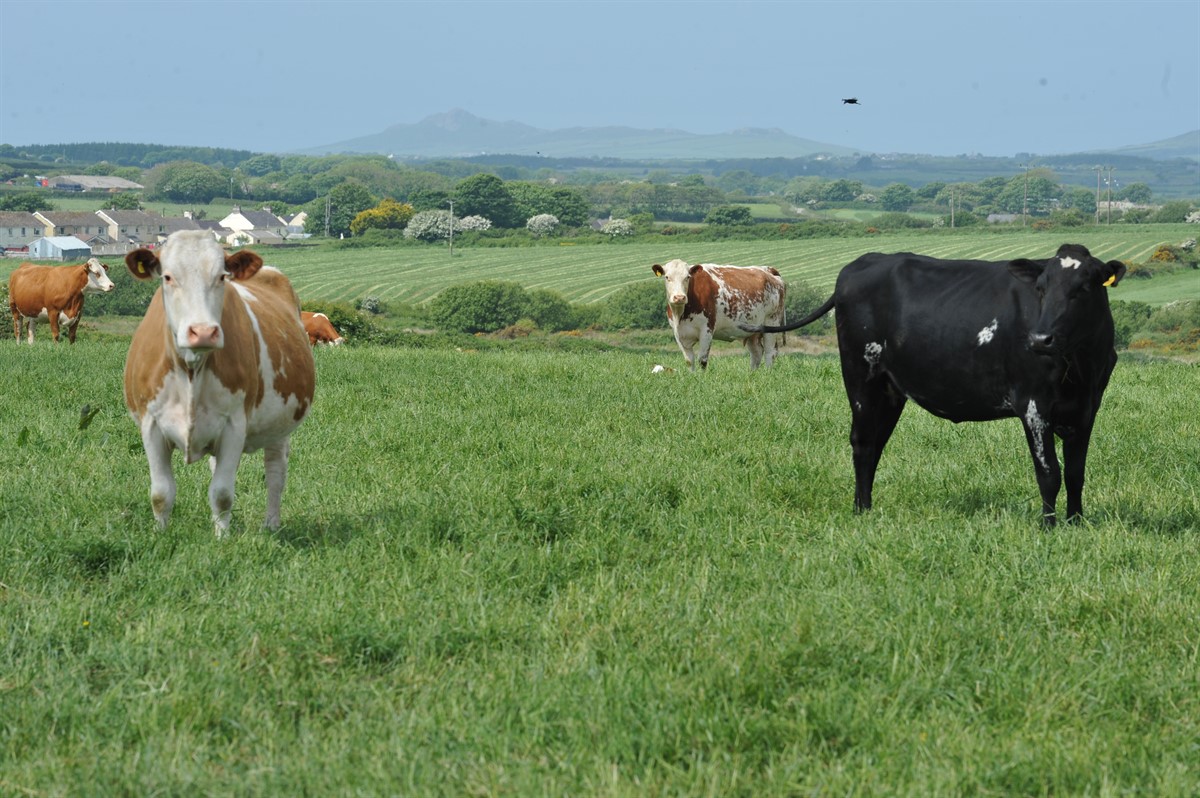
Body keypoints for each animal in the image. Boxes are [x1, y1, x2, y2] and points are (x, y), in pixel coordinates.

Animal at [123, 230, 315, 536]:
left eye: (222, 276)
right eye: (167, 276)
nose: (203, 331)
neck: (191, 371)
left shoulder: (235, 424)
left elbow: (222, 493)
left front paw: (221, 538)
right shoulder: (150, 424)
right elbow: (161, 493)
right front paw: (160, 534)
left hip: (281, 422)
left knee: (275, 471)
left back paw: (272, 524)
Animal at [651, 259, 786, 371]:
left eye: (687, 277)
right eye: (667, 277)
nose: (679, 297)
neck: (681, 315)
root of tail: (767, 269)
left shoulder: (707, 329)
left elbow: (702, 360)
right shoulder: (678, 333)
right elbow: (689, 361)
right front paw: (692, 376)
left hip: (771, 321)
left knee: (770, 352)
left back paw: (767, 373)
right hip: (752, 330)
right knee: (757, 352)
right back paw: (752, 373)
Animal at [745, 244, 1126, 525]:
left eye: (1083, 288)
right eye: (1041, 288)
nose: (1041, 339)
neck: (1081, 365)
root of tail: (865, 261)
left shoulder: (1087, 409)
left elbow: (1076, 474)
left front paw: (1076, 523)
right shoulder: (1034, 405)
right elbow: (1049, 473)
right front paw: (1049, 527)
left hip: (890, 390)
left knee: (876, 444)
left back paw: (867, 507)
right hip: (860, 376)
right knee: (863, 443)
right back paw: (860, 510)